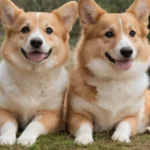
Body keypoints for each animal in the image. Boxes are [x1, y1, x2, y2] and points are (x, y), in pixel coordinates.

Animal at [0, 0, 78, 146]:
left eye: (49, 30)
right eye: (25, 29)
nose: (36, 42)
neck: (33, 74)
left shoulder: (51, 115)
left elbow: (33, 125)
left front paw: (25, 138)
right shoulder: (3, 111)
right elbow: (9, 124)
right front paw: (6, 137)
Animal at [67, 0, 150, 145]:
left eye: (132, 33)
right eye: (109, 34)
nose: (127, 51)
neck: (114, 78)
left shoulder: (132, 115)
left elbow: (124, 124)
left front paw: (120, 136)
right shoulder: (77, 114)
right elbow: (84, 126)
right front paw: (84, 138)